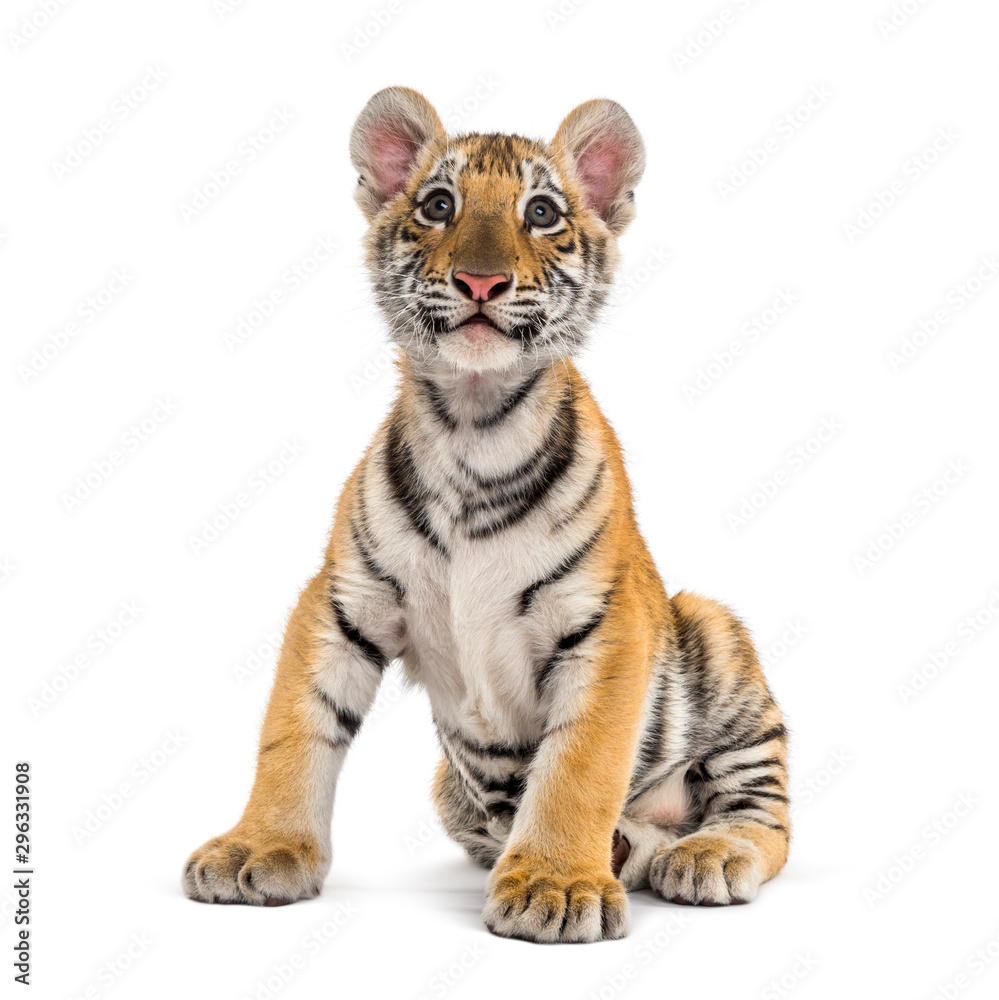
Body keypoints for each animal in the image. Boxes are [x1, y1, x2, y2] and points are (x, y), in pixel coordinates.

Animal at [182, 86, 791, 943]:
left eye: (541, 213)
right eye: (439, 205)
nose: (479, 282)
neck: (473, 424)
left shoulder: (606, 625)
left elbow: (578, 767)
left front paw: (557, 885)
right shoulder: (340, 602)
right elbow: (292, 730)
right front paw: (259, 847)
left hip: (716, 643)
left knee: (762, 815)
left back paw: (702, 853)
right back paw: (627, 847)